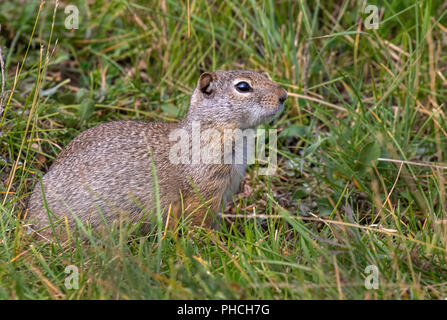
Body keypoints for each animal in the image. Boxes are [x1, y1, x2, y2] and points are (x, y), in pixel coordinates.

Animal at [27, 69, 288, 238]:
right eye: (243, 86)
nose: (284, 95)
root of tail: (29, 217)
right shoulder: (203, 192)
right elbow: (199, 223)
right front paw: (215, 246)